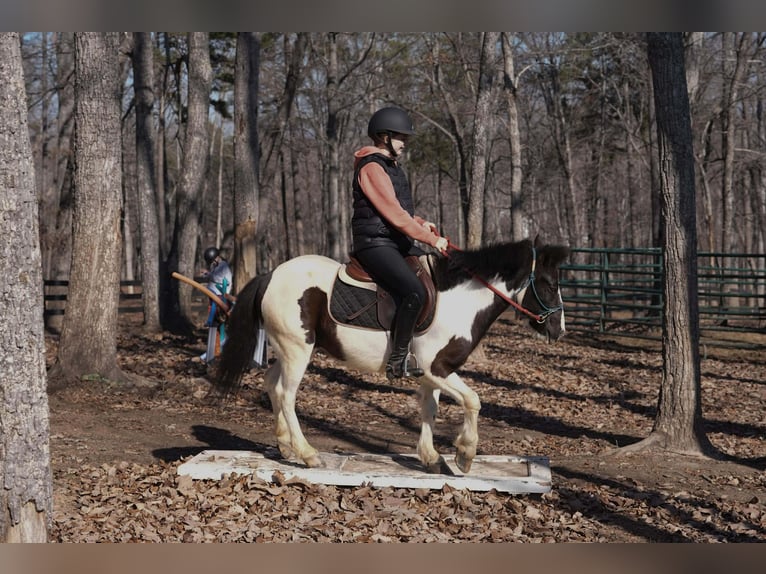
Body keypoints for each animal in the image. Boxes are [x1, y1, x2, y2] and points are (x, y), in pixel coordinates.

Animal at [213, 237, 570, 474]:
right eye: (549, 283)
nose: (559, 329)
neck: (459, 301)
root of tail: (270, 275)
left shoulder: (429, 374)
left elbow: (429, 411)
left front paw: (432, 458)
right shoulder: (438, 368)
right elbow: (473, 401)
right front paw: (465, 454)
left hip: (287, 350)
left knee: (272, 385)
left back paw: (286, 447)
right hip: (297, 351)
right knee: (287, 395)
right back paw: (308, 453)